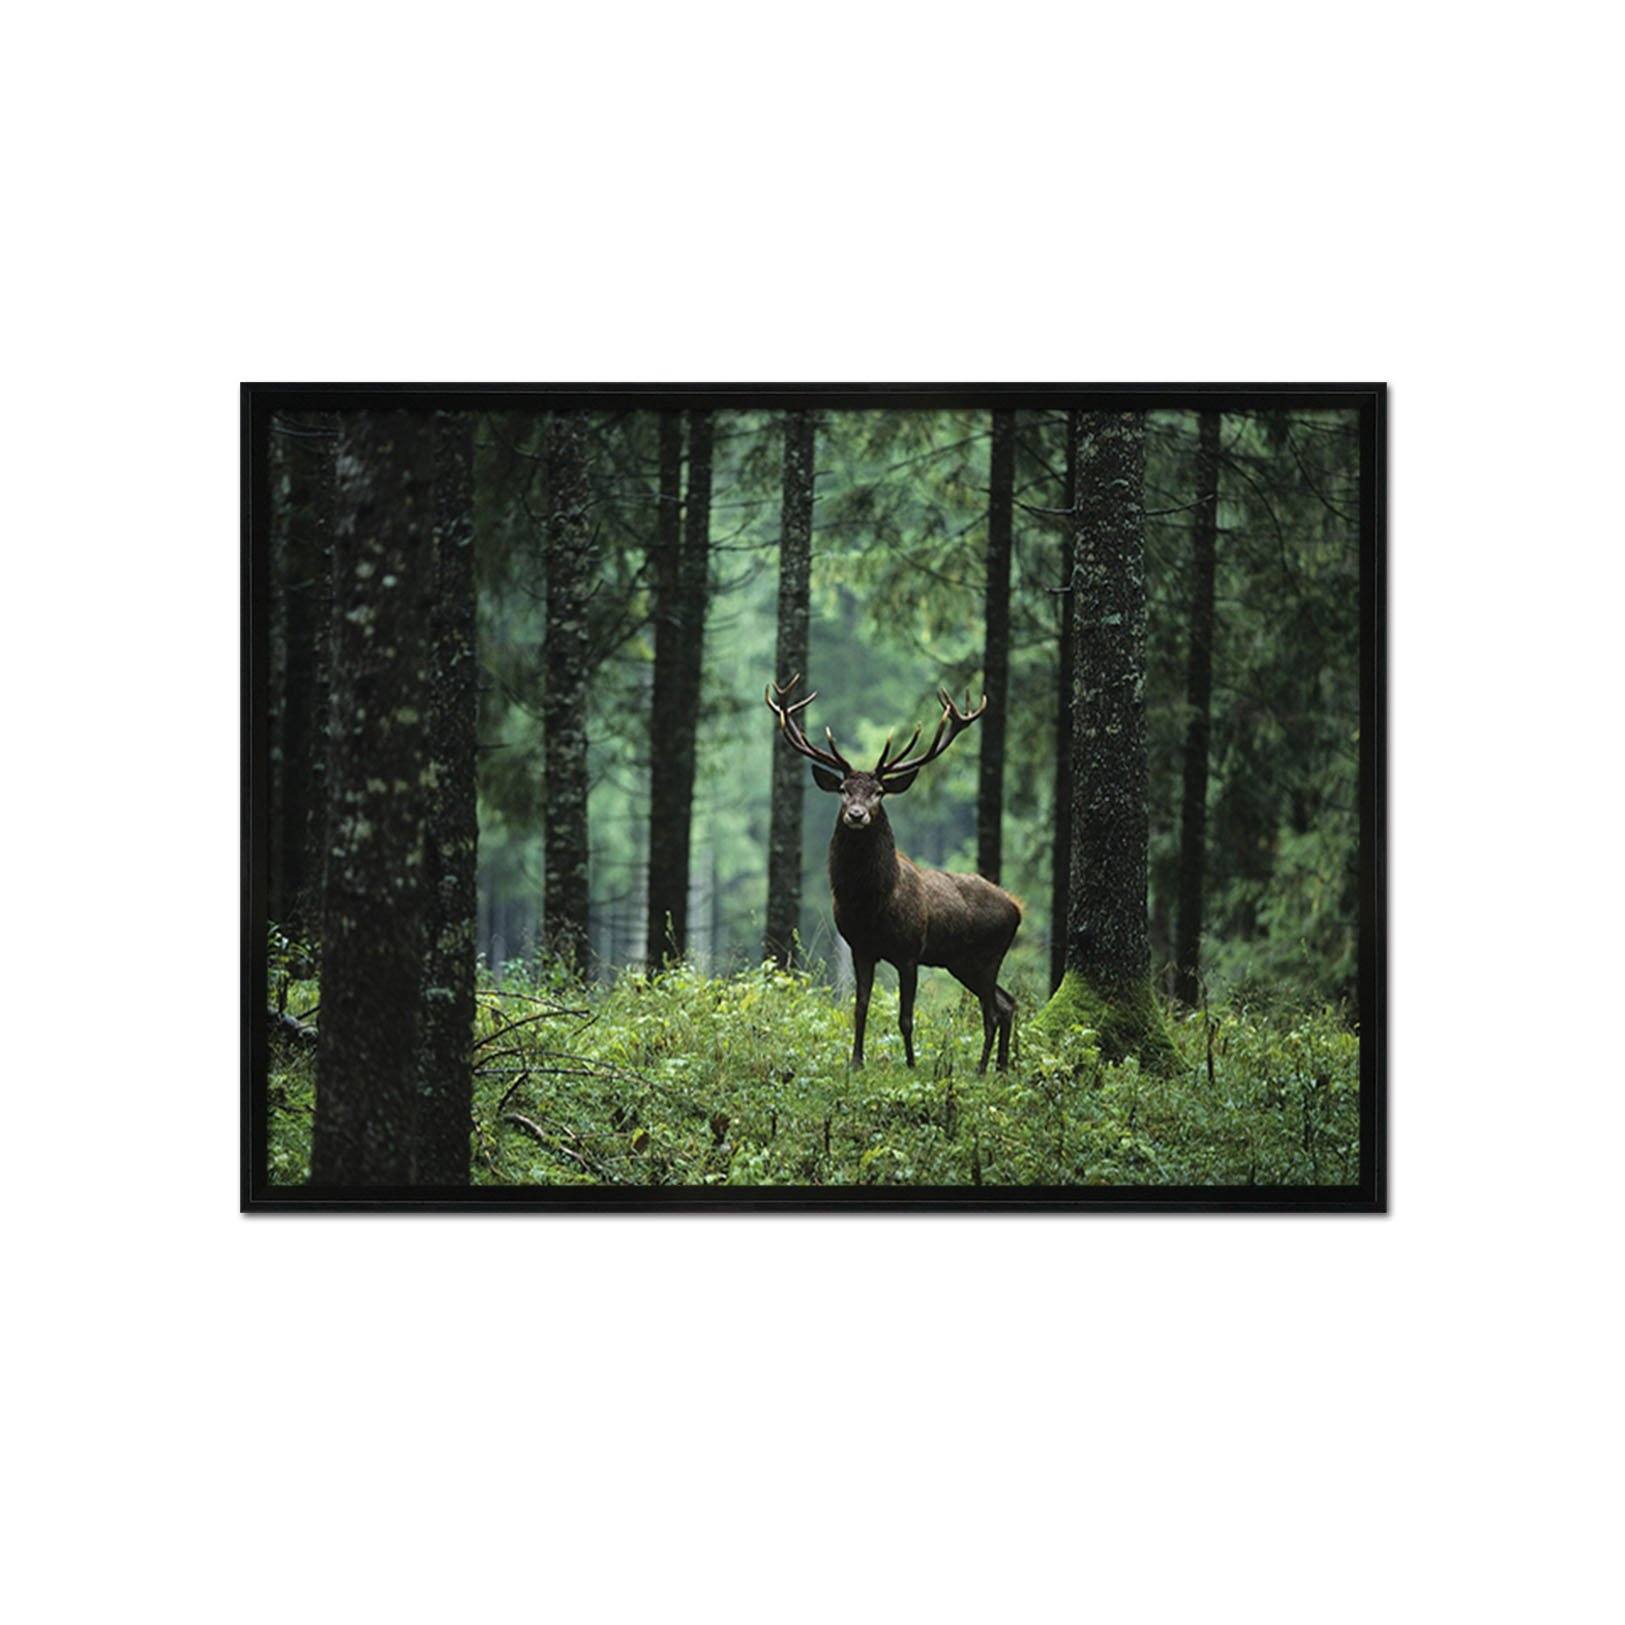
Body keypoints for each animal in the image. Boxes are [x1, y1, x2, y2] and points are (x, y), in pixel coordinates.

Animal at [765, 675, 1022, 1072]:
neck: (871, 903)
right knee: (1007, 1003)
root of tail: (1017, 908)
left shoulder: (909, 952)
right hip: (961, 961)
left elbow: (906, 1016)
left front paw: (912, 1064)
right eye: (843, 790)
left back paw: (983, 1068)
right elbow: (860, 1007)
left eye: (879, 792)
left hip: (987, 955)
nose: (856, 814)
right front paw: (856, 1062)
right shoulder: (861, 947)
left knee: (994, 1010)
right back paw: (999, 1068)